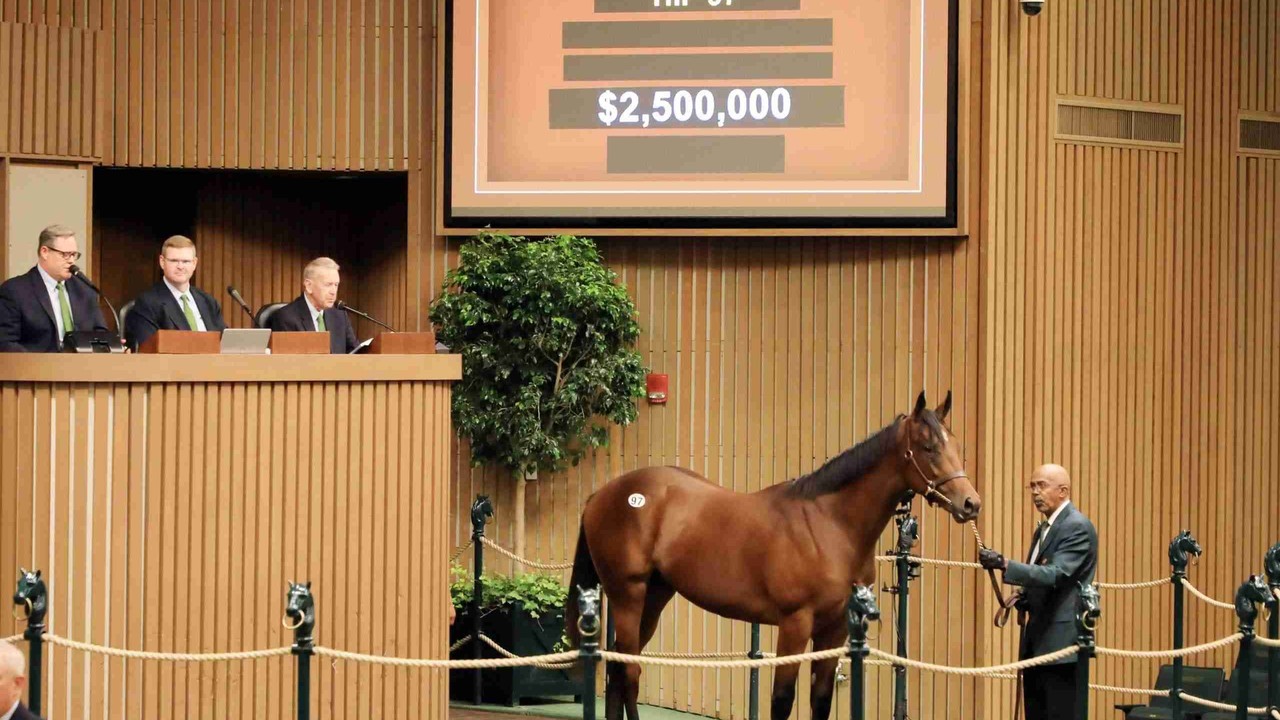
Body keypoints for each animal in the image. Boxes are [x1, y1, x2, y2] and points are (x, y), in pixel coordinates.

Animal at [568, 392, 977, 717]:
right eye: (928, 448)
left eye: (956, 446)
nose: (971, 504)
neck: (829, 524)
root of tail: (602, 494)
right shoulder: (795, 624)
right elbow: (782, 699)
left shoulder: (834, 629)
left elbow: (820, 700)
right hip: (628, 596)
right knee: (627, 673)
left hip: (654, 597)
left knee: (622, 670)